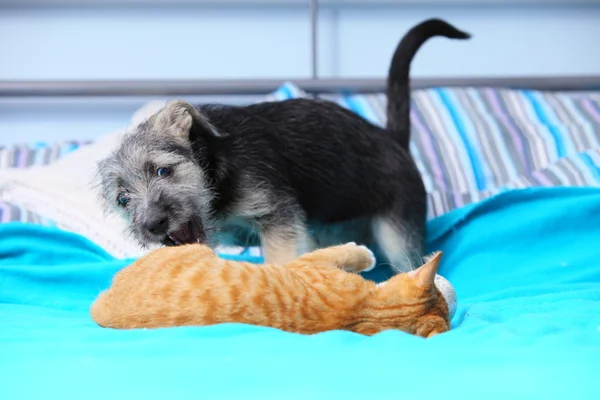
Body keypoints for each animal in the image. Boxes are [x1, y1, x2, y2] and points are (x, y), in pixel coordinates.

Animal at [95, 19, 468, 276]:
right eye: (123, 200)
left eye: (163, 170)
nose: (153, 224)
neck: (218, 171)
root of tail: (392, 139)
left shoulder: (277, 218)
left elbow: (279, 259)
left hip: (397, 234)